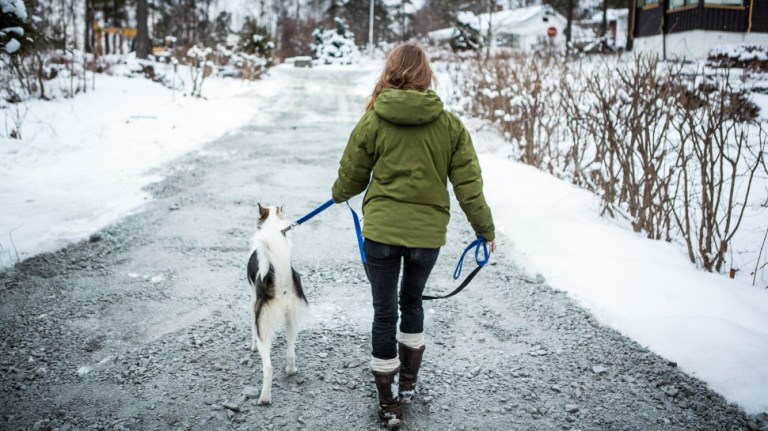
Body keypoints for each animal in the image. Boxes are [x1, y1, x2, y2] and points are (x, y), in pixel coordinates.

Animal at [246, 204, 306, 406]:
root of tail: (282, 285)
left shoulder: (252, 302)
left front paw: (251, 346)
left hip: (263, 326)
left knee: (268, 367)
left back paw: (264, 398)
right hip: (292, 320)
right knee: (291, 351)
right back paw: (291, 370)